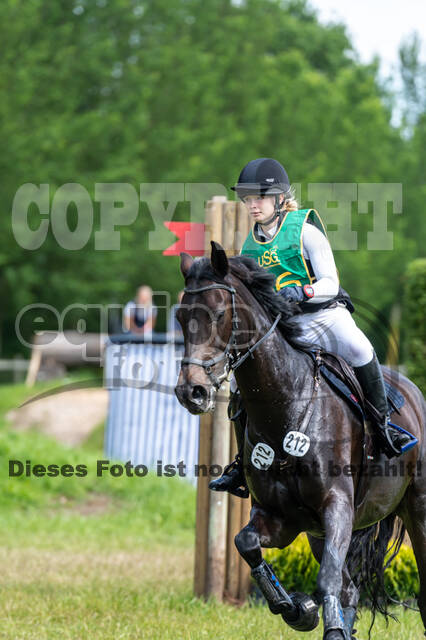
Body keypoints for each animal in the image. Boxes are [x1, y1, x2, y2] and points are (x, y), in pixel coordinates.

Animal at [175, 242, 426, 640]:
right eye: (181, 318)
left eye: (218, 314)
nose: (191, 392)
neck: (286, 405)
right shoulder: (281, 518)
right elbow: (246, 543)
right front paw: (297, 610)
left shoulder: (337, 506)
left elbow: (326, 580)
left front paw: (320, 621)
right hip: (318, 530)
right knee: (349, 588)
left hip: (416, 508)